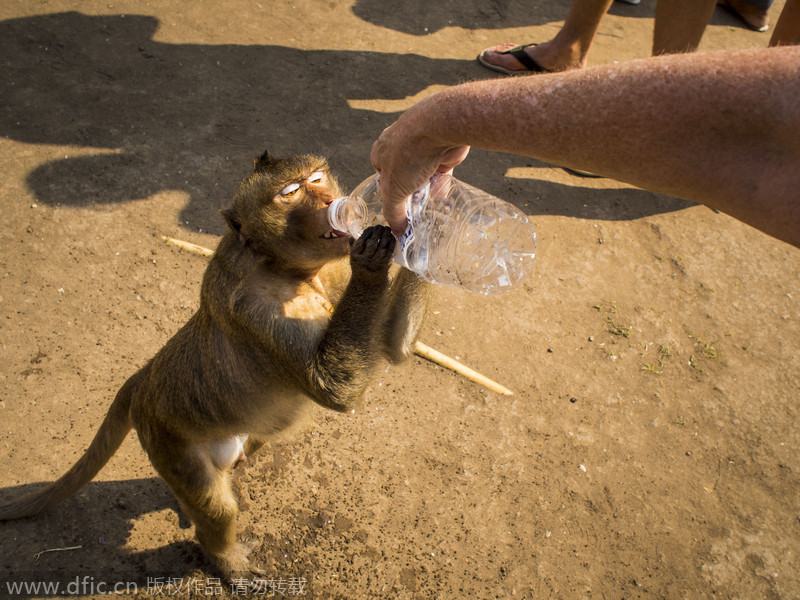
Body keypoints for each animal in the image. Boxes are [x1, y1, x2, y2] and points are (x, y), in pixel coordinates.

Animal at [0, 152, 429, 580]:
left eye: (318, 178)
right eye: (290, 192)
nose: (329, 201)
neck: (282, 265)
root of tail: (146, 378)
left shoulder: (332, 271)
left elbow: (392, 345)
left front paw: (420, 220)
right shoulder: (256, 306)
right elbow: (334, 386)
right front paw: (374, 258)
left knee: (254, 443)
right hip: (168, 439)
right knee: (217, 508)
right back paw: (224, 557)